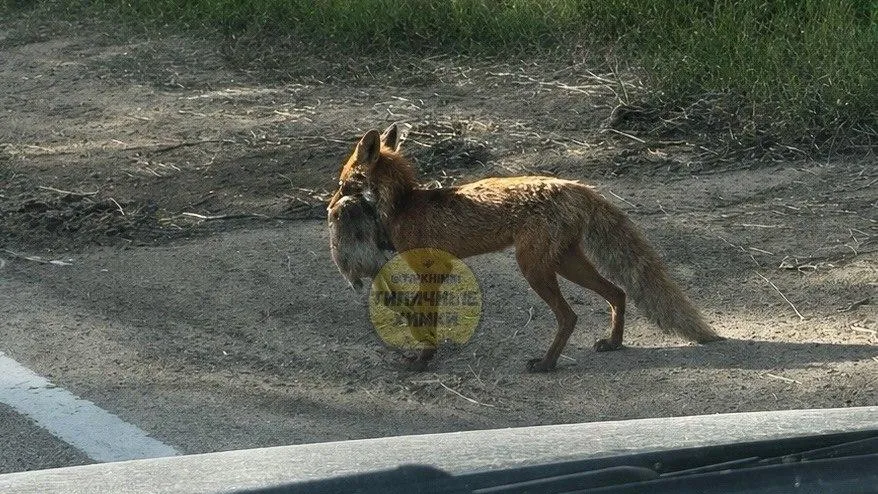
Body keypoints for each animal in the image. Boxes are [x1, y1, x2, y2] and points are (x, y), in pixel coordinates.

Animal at [328, 123, 722, 372]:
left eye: (342, 183)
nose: (329, 206)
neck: (404, 205)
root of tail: (575, 186)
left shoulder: (433, 270)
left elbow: (425, 317)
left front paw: (423, 360)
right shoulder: (437, 272)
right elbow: (415, 311)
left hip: (533, 268)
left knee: (570, 316)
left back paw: (547, 365)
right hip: (564, 263)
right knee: (618, 293)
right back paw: (612, 343)